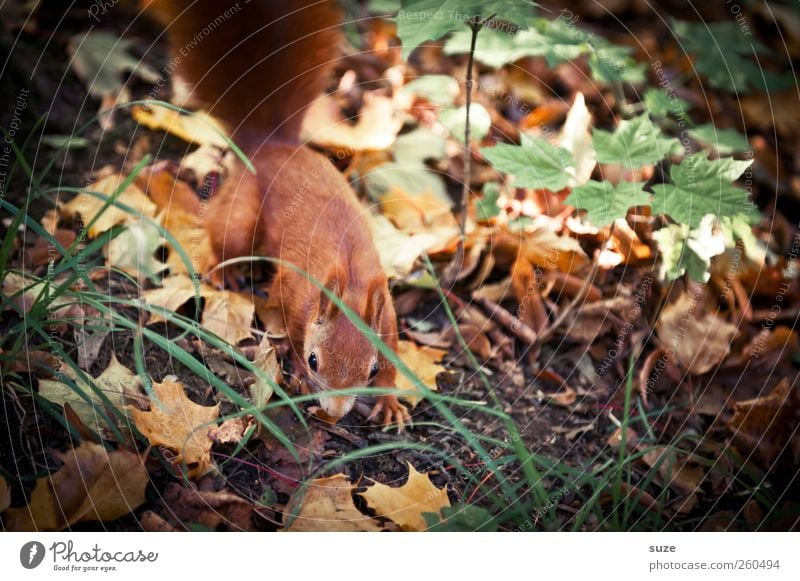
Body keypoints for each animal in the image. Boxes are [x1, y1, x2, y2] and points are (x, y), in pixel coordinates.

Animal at [152, 0, 410, 426]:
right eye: (315, 360)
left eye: (370, 370)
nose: (334, 415)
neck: (352, 286)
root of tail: (272, 145)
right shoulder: (294, 292)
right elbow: (289, 327)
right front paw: (298, 370)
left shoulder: (385, 317)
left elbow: (393, 356)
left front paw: (389, 401)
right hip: (242, 213)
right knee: (223, 237)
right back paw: (221, 272)